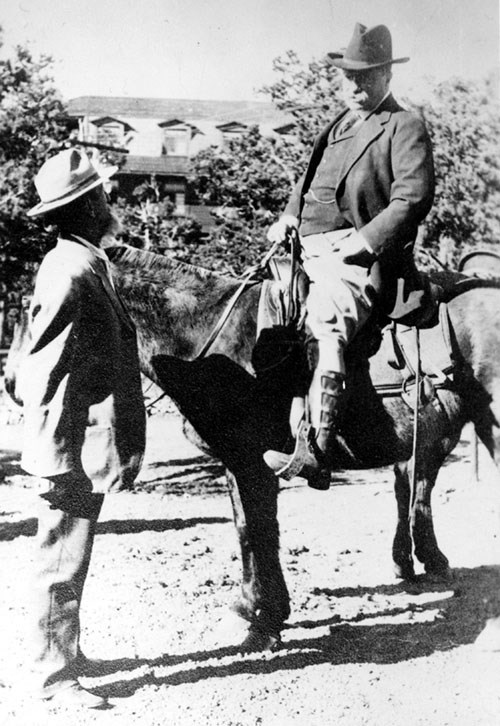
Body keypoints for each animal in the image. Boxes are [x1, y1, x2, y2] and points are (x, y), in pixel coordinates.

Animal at [3, 247, 500, 652]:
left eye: (38, 308)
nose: (11, 384)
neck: (219, 346)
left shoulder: (252, 463)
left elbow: (261, 532)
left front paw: (264, 621)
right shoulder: (235, 463)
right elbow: (247, 530)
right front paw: (252, 607)